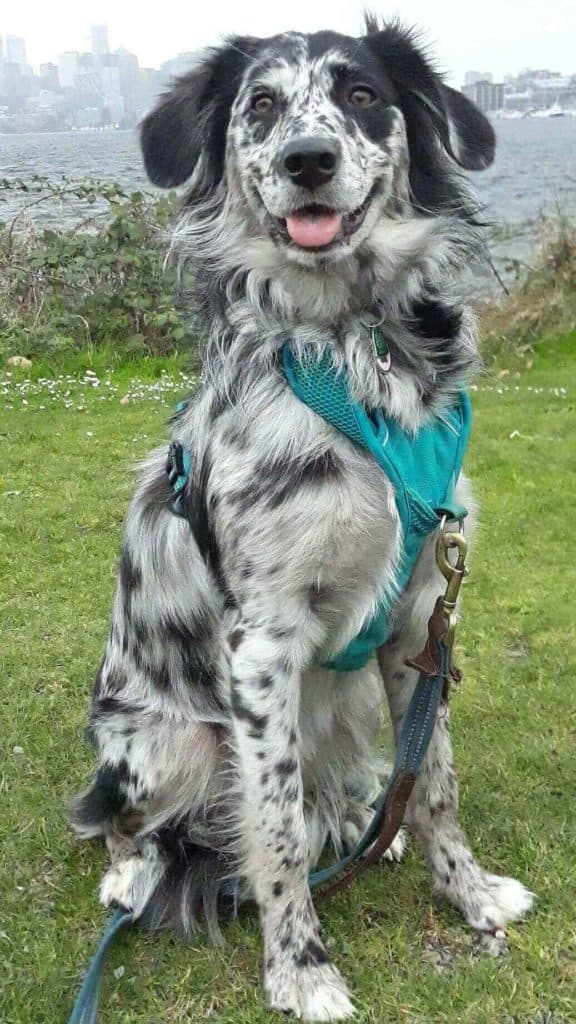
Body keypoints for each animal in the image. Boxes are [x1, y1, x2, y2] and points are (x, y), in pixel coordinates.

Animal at [71, 19, 532, 1019]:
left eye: (361, 94)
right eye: (261, 105)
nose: (308, 159)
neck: (352, 349)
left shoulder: (421, 622)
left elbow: (435, 782)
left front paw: (471, 893)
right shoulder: (263, 644)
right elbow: (276, 825)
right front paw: (301, 966)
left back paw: (366, 822)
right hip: (164, 741)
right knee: (122, 818)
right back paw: (132, 872)